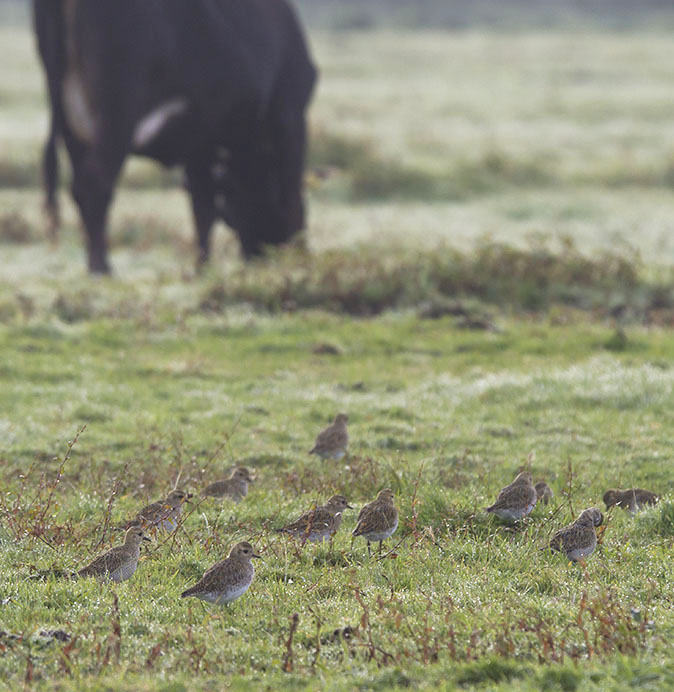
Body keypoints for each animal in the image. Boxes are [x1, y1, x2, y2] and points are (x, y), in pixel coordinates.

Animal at [35, 0, 318, 276]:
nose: (263, 255)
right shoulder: (290, 118)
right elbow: (290, 196)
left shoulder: (200, 143)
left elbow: (202, 207)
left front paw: (202, 267)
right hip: (116, 115)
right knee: (94, 186)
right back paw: (101, 266)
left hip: (72, 125)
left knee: (79, 188)